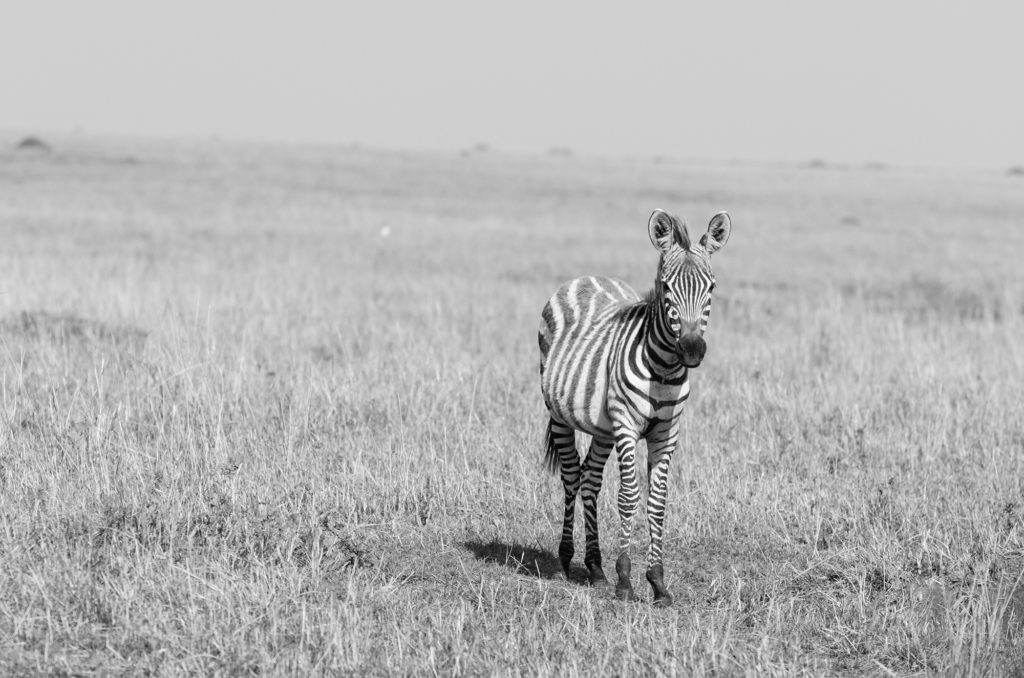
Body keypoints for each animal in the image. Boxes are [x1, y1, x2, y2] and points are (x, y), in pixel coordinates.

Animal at [540, 209, 733, 606]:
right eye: (666, 288)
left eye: (711, 288)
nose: (692, 350)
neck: (663, 368)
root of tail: (587, 276)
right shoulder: (627, 426)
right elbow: (628, 496)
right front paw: (626, 580)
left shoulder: (667, 433)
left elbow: (657, 502)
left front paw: (657, 582)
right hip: (559, 414)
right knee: (571, 476)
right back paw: (566, 559)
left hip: (603, 426)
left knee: (590, 478)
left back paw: (595, 568)